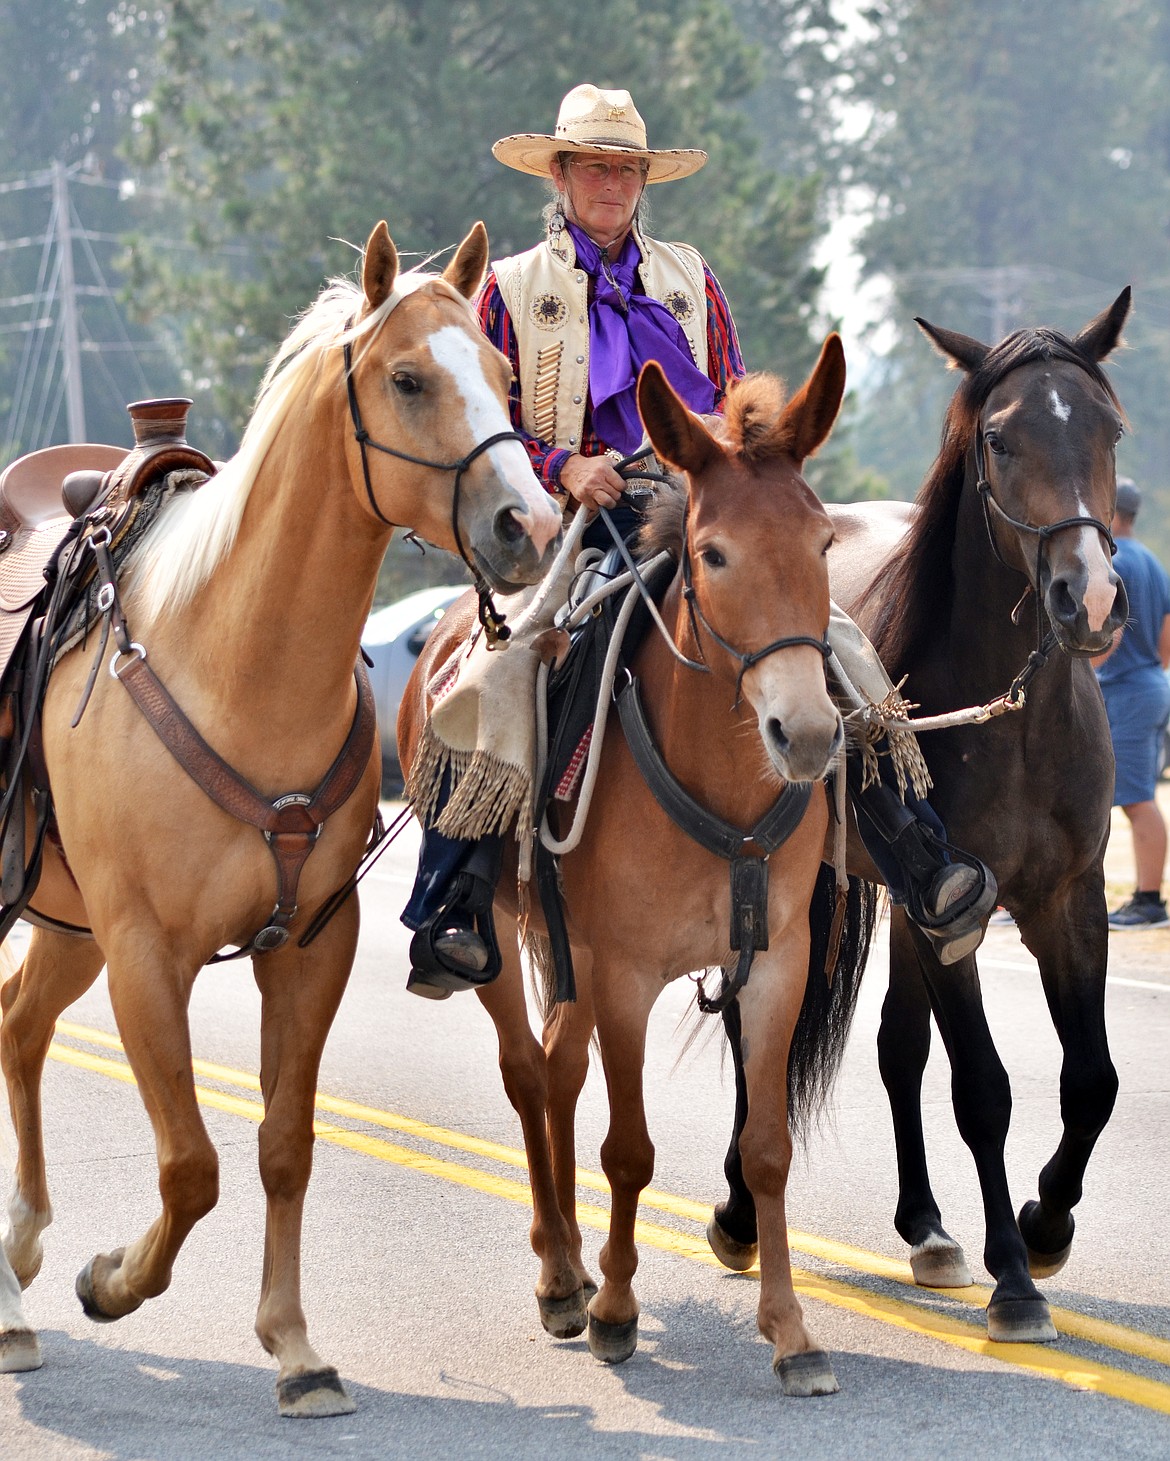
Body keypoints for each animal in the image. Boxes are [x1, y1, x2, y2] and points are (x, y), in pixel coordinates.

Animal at [0, 219, 560, 1414]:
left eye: (503, 375)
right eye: (407, 378)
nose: (529, 522)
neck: (232, 661)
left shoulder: (308, 945)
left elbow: (282, 1146)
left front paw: (295, 1347)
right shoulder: (145, 952)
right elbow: (190, 1164)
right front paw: (112, 1279)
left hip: (65, 922)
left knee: (21, 1024)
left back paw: (17, 1264)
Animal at [400, 338, 876, 1390]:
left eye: (825, 543)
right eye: (714, 552)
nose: (807, 733)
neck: (719, 787)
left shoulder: (775, 965)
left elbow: (767, 1146)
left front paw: (791, 1330)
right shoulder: (623, 974)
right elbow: (627, 1149)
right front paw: (617, 1307)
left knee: (558, 1067)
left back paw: (575, 1264)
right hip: (502, 934)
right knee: (529, 1074)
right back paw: (561, 1274)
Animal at [706, 290, 1127, 1338]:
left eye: (1110, 428)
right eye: (1000, 438)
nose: (1092, 596)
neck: (1012, 714)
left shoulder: (1061, 898)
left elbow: (1090, 1080)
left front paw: (1045, 1223)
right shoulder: (955, 924)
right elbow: (982, 1087)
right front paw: (1015, 1277)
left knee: (897, 1049)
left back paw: (928, 1226)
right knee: (753, 1035)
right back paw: (737, 1210)